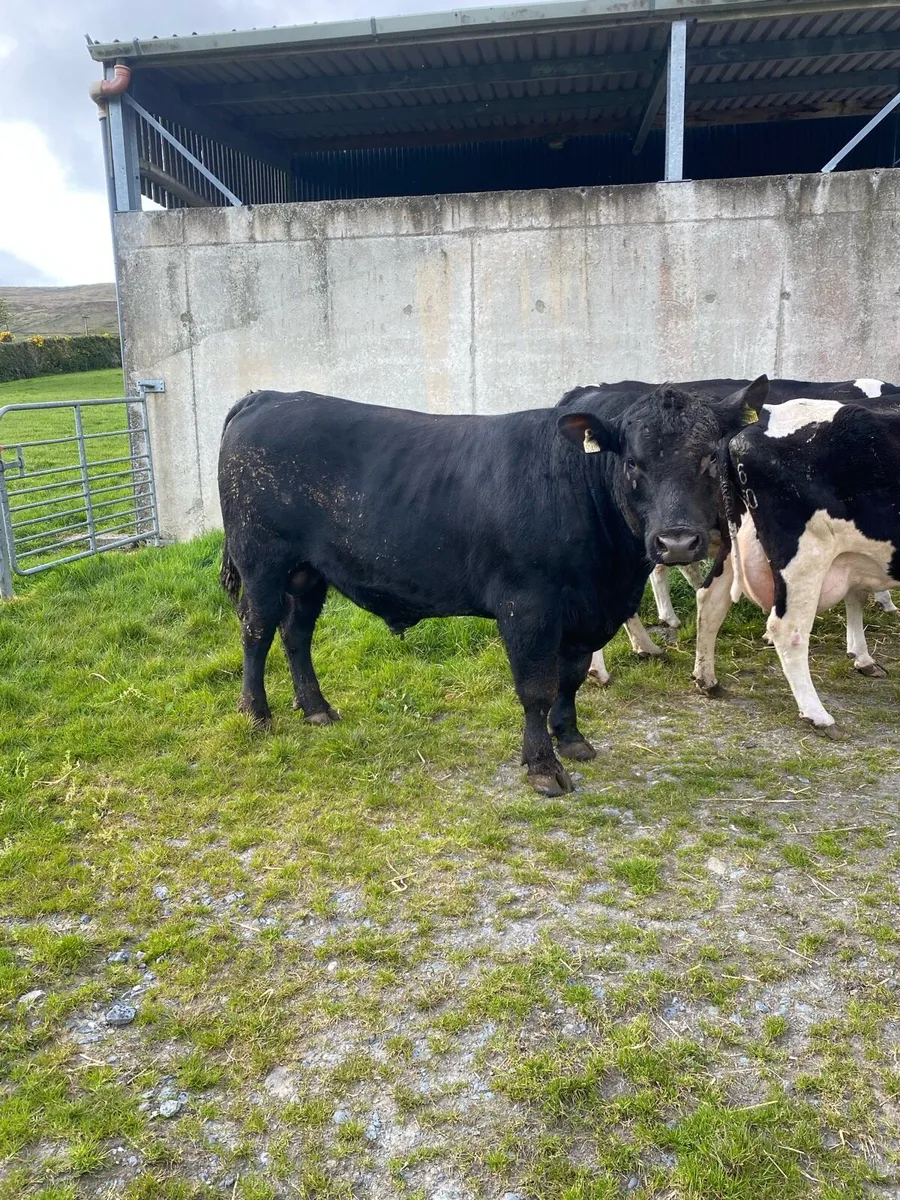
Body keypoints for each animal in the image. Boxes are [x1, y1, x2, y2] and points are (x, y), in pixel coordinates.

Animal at [217, 380, 767, 795]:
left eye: (708, 457)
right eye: (633, 462)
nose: (677, 541)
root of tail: (268, 396)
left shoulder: (586, 612)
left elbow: (571, 677)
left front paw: (572, 739)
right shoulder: (527, 606)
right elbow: (536, 687)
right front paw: (543, 767)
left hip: (308, 572)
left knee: (296, 634)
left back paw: (316, 709)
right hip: (262, 561)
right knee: (256, 629)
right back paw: (257, 713)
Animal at [561, 378, 900, 684]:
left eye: (709, 457)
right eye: (632, 462)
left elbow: (856, 592)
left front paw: (863, 652)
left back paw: (652, 645)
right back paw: (603, 667)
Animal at [692, 395, 900, 730]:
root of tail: (746, 430)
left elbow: (856, 594)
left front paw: (862, 656)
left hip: (736, 538)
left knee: (710, 600)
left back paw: (707, 679)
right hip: (804, 556)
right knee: (787, 628)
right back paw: (818, 715)